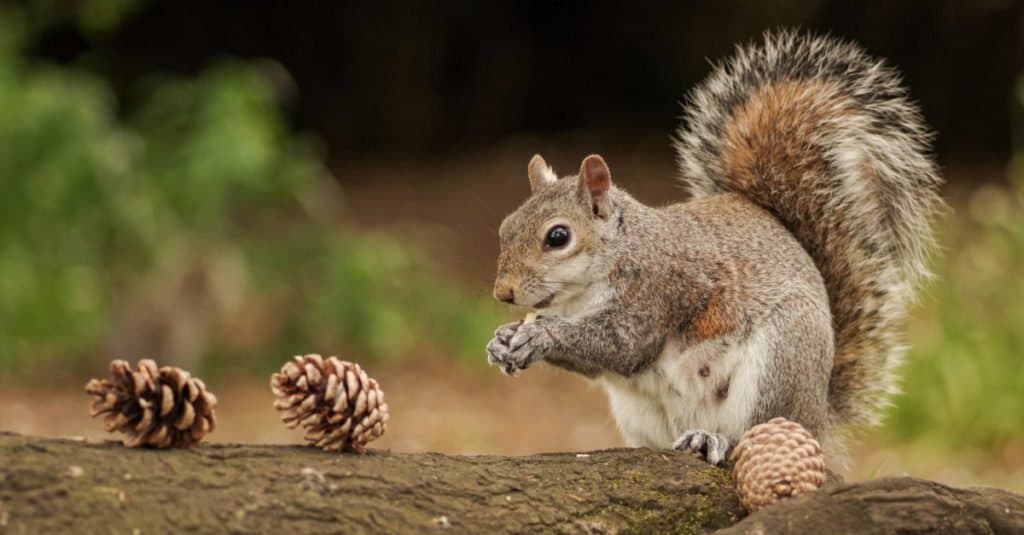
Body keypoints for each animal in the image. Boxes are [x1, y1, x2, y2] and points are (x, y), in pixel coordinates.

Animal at [487, 30, 942, 461]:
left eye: (557, 237)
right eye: (505, 227)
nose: (503, 293)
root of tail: (818, 419)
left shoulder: (659, 291)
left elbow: (623, 346)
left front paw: (540, 335)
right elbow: (595, 365)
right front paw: (503, 340)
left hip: (781, 358)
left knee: (757, 431)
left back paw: (713, 440)